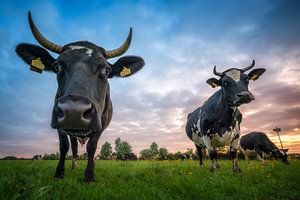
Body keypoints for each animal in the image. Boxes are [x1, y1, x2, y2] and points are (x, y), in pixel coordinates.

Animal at [15, 11, 145, 182]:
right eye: (57, 66)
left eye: (106, 70)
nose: (74, 111)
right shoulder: (61, 125)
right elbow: (64, 147)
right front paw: (59, 174)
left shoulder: (101, 124)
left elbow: (92, 147)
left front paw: (89, 176)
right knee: (75, 148)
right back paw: (73, 167)